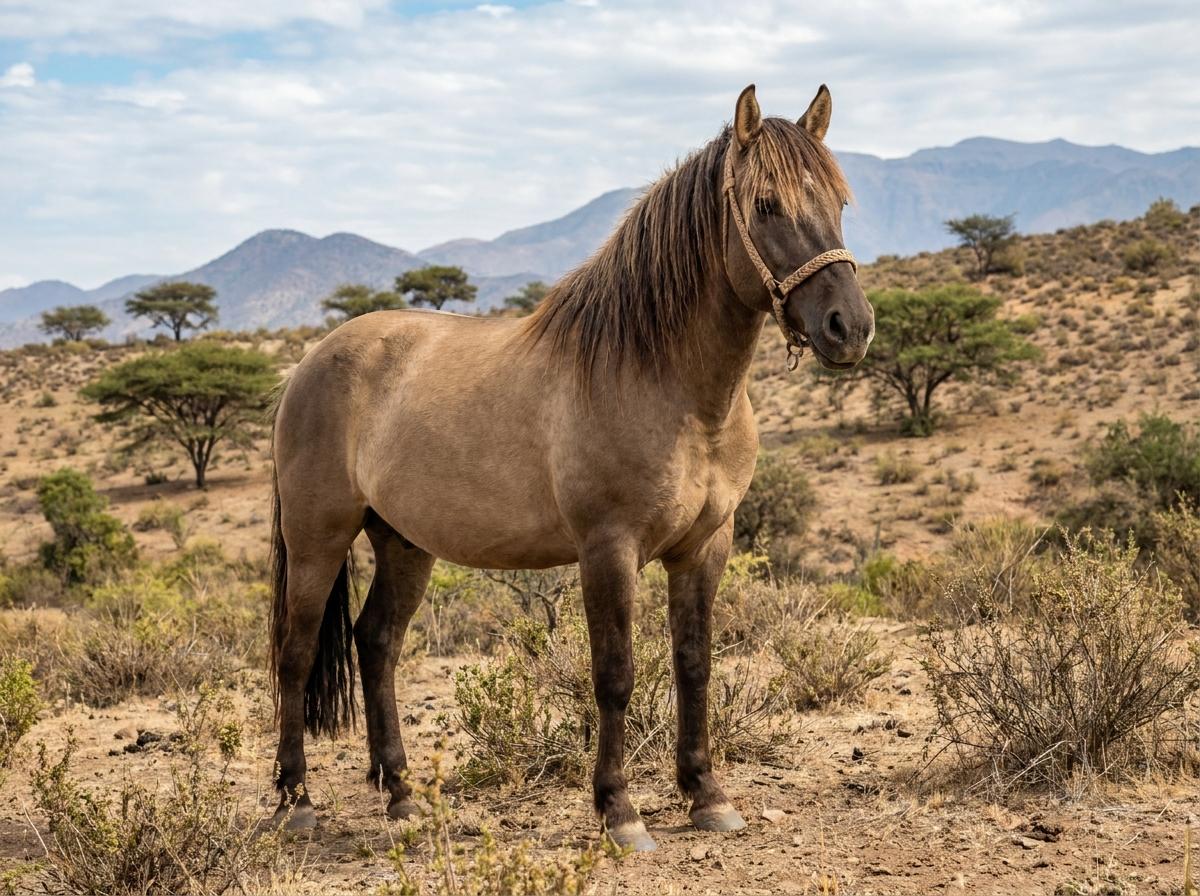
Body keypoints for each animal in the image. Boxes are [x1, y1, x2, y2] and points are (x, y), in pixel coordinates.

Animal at [268, 83, 874, 852]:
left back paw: (402, 797)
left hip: (403, 542)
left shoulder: (706, 546)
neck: (664, 381)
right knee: (294, 653)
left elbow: (695, 663)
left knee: (376, 645)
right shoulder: (608, 550)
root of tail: (308, 363)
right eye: (766, 205)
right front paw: (620, 811)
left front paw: (706, 795)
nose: (849, 328)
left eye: (839, 202)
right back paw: (296, 802)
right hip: (317, 538)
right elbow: (614, 673)